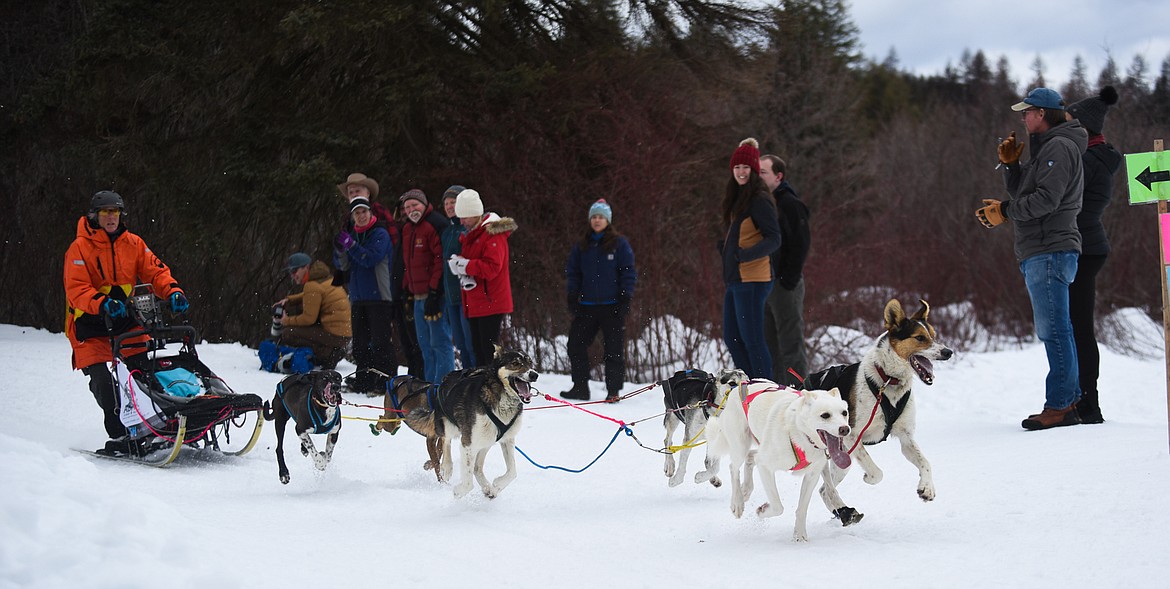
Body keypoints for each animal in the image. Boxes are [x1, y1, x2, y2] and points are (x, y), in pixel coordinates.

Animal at [402, 348, 538, 501]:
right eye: (515, 363)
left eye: (530, 363)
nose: (534, 374)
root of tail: (445, 379)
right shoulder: (468, 443)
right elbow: (468, 482)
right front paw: (459, 491)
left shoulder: (507, 439)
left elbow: (512, 472)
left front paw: (495, 487)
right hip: (450, 425)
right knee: (445, 440)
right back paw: (447, 466)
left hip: (487, 440)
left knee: (477, 467)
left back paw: (487, 487)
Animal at [748, 386, 851, 543]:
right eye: (825, 415)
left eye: (844, 413)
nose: (845, 429)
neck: (800, 435)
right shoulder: (764, 464)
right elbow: (778, 507)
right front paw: (762, 510)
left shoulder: (812, 475)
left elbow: (802, 509)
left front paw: (800, 535)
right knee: (734, 467)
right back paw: (737, 501)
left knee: (750, 458)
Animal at [804, 299, 950, 524]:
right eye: (920, 338)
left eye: (933, 335)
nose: (948, 352)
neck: (888, 380)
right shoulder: (852, 436)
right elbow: (876, 472)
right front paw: (868, 477)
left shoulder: (906, 438)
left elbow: (925, 462)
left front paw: (926, 488)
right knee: (826, 488)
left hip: (841, 459)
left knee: (824, 490)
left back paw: (844, 512)